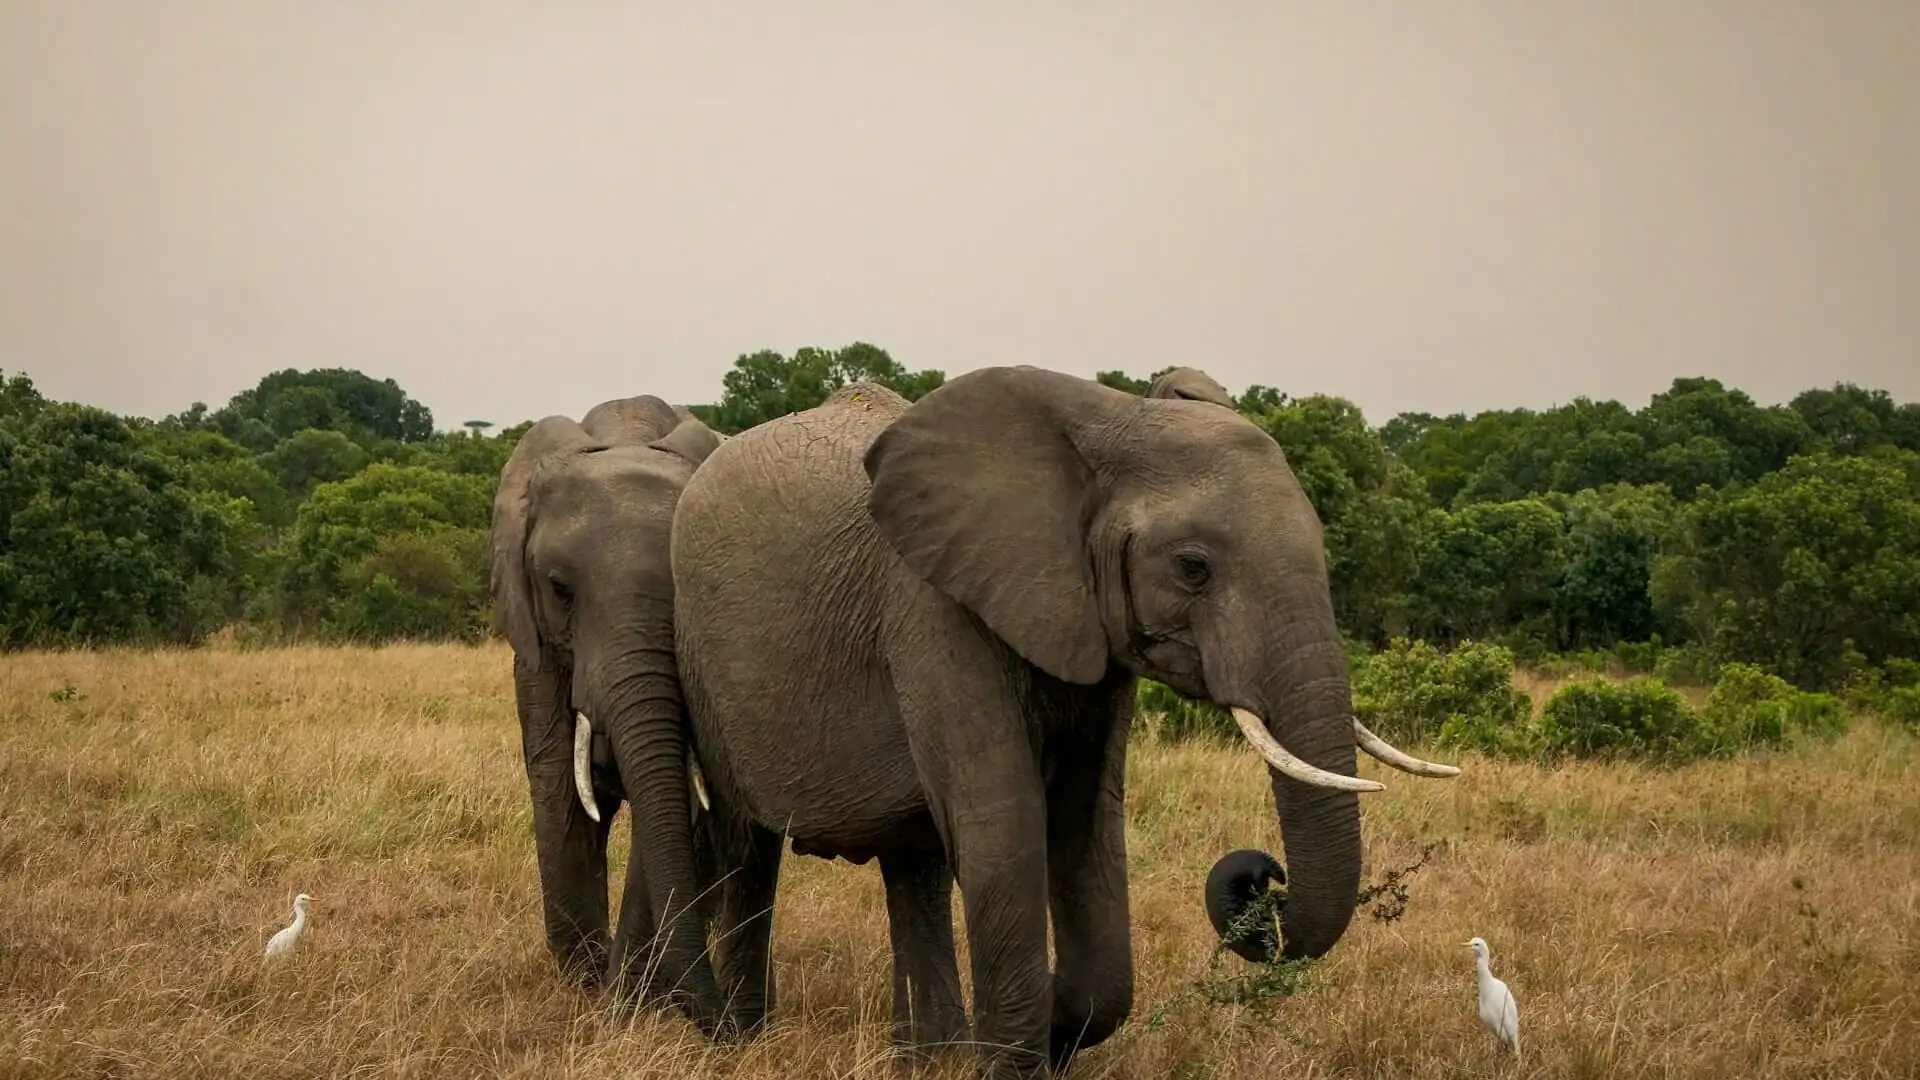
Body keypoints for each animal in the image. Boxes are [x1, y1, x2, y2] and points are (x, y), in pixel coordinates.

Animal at [487, 393, 734, 1036]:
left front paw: (623, 1000)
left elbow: (671, 798)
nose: (724, 1025)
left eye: (688, 588)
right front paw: (586, 976)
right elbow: (558, 788)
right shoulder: (537, 649)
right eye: (559, 589)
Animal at [667, 365, 1460, 1076]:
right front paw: (1015, 1052)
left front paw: (1046, 1027)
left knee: (912, 866)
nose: (1262, 874)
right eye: (1194, 566)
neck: (1106, 424)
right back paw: (741, 1042)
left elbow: (1085, 819)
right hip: (704, 662)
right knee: (747, 846)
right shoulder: (933, 605)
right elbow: (1004, 821)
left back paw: (927, 1059)